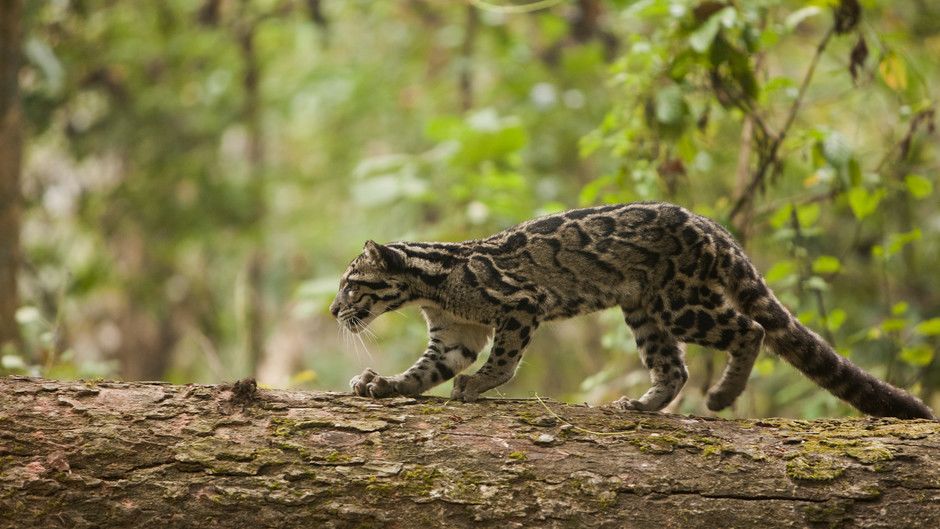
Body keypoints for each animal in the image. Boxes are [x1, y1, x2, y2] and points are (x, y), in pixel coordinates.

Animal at [328, 201, 932, 416]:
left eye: (351, 284)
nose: (334, 312)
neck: (430, 286)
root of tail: (709, 223)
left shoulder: (520, 304)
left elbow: (503, 360)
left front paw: (476, 386)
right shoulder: (454, 336)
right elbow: (422, 372)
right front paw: (383, 385)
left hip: (681, 301)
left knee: (751, 329)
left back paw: (723, 395)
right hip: (644, 309)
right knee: (674, 366)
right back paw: (644, 405)